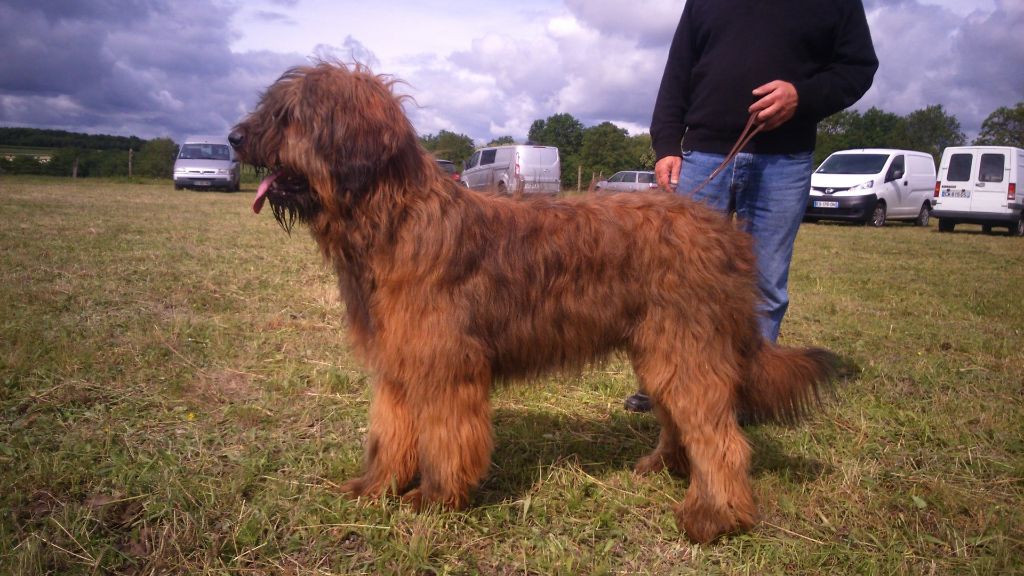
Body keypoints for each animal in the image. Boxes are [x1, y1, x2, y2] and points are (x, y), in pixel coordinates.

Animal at [228, 62, 835, 541]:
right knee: (683, 420)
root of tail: (724, 235)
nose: (234, 137)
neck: (393, 218)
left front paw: (434, 498)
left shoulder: (444, 364)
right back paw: (665, 466)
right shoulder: (399, 362)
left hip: (686, 347)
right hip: (662, 351)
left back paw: (713, 515)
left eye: (290, 116)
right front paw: (375, 487)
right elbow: (390, 432)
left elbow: (444, 436)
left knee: (722, 439)